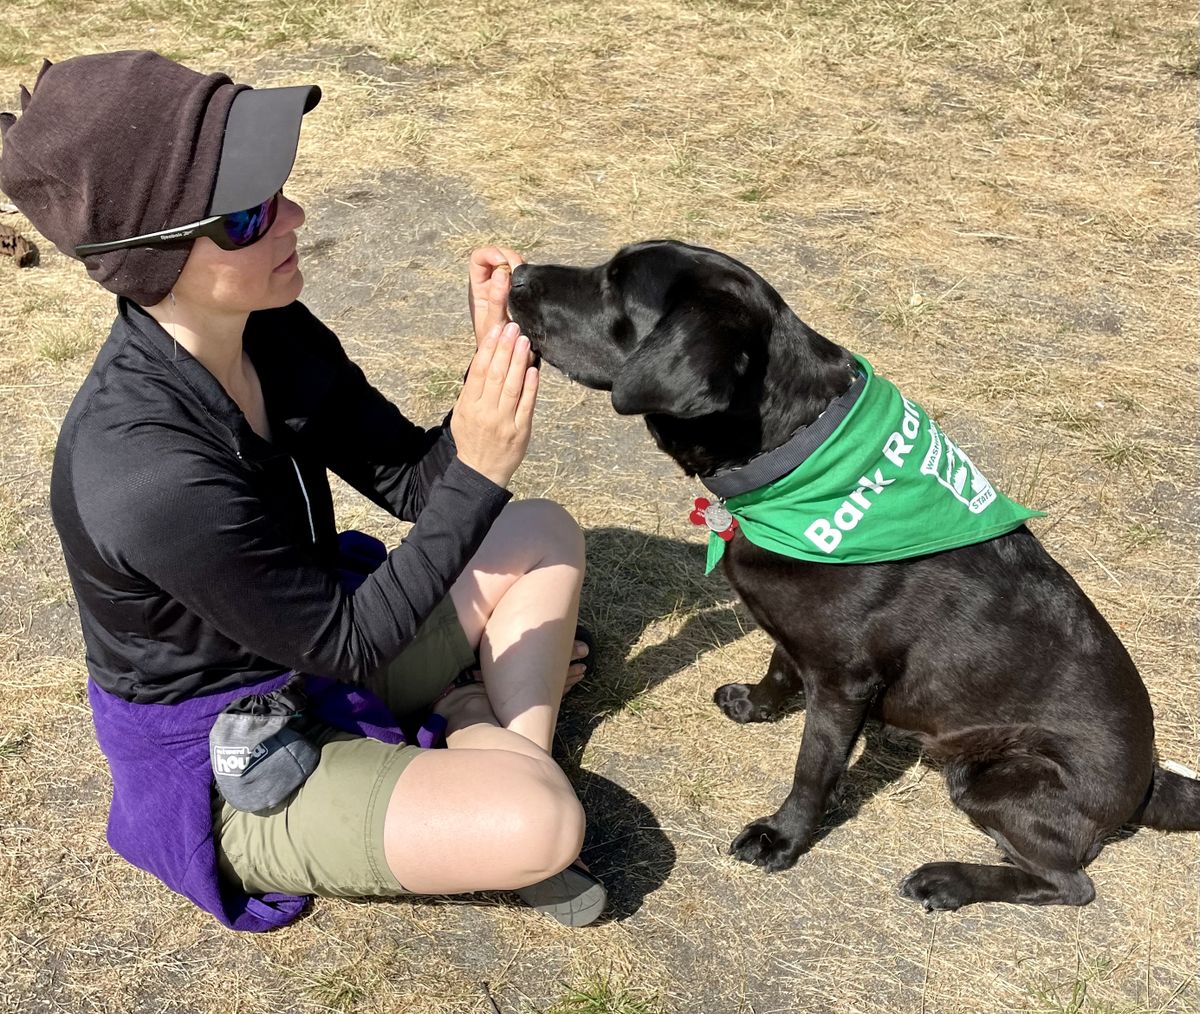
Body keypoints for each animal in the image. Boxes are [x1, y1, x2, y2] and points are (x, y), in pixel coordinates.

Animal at [508, 238, 1200, 912]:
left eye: (615, 286)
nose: (516, 273)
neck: (794, 453)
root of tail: (1149, 779)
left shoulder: (844, 682)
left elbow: (813, 768)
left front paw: (781, 838)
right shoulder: (802, 641)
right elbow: (779, 664)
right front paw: (756, 705)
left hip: (994, 774)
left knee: (1071, 885)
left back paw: (946, 881)